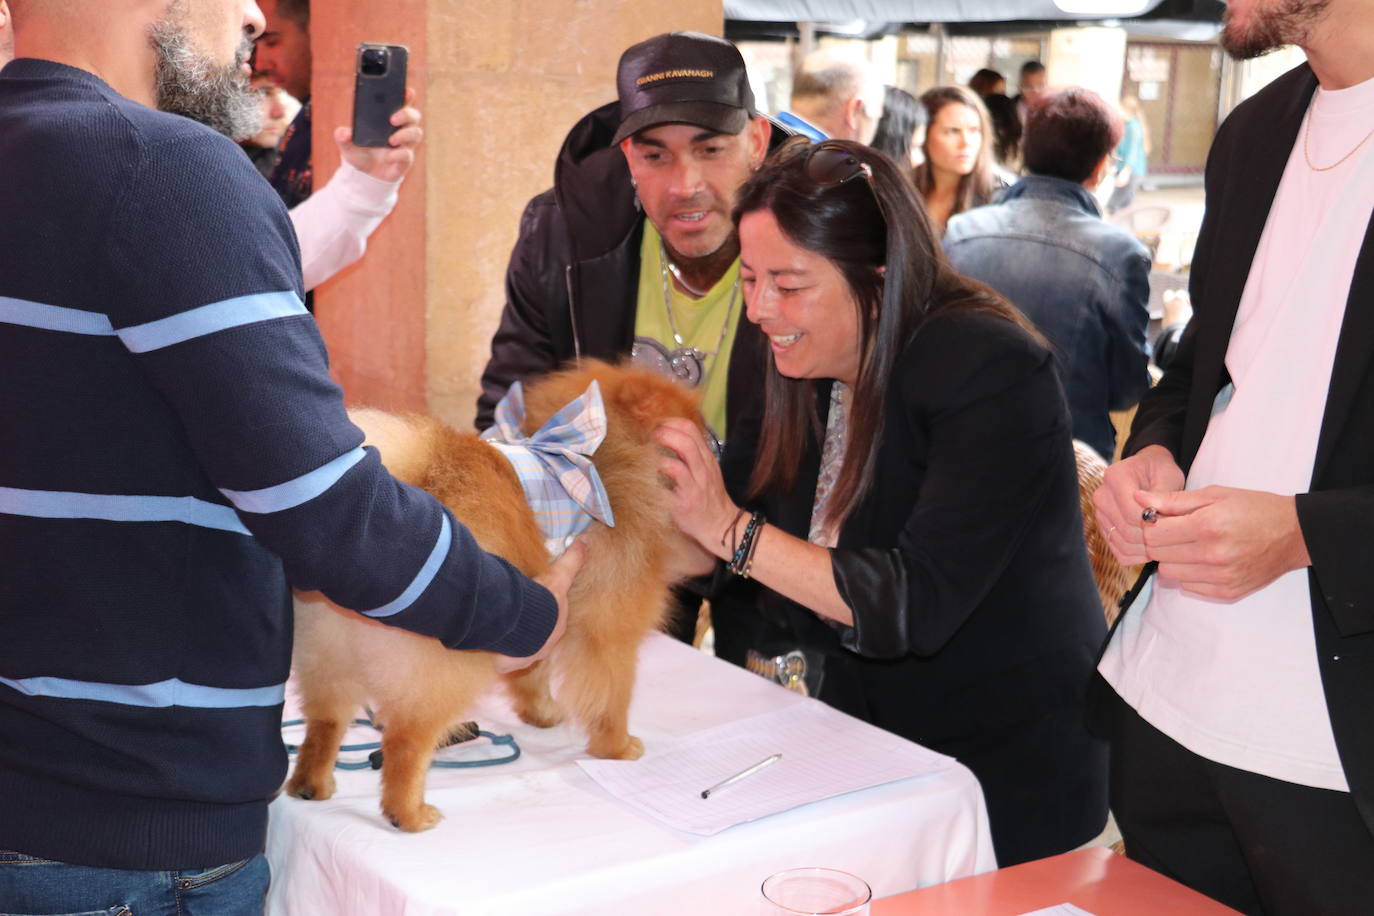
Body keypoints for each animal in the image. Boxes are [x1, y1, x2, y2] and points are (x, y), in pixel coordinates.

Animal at [283, 362, 703, 834]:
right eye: (697, 428)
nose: (715, 446)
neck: (611, 459)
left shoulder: (546, 613)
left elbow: (532, 674)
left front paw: (542, 714)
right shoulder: (605, 631)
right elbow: (610, 696)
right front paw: (617, 746)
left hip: (327, 652)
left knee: (326, 721)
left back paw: (312, 783)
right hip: (447, 660)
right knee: (407, 739)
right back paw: (409, 813)